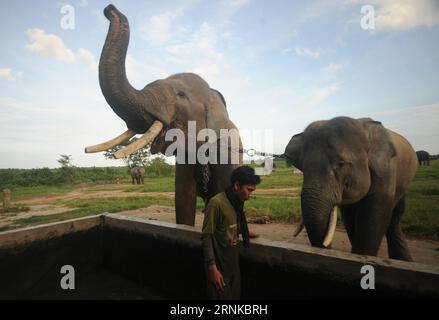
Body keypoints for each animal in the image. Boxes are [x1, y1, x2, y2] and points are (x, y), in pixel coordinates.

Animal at [284, 116, 418, 262]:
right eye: (302, 167)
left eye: (341, 164)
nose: (324, 247)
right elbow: (349, 216)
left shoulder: (385, 170)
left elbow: (373, 217)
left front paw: (362, 257)